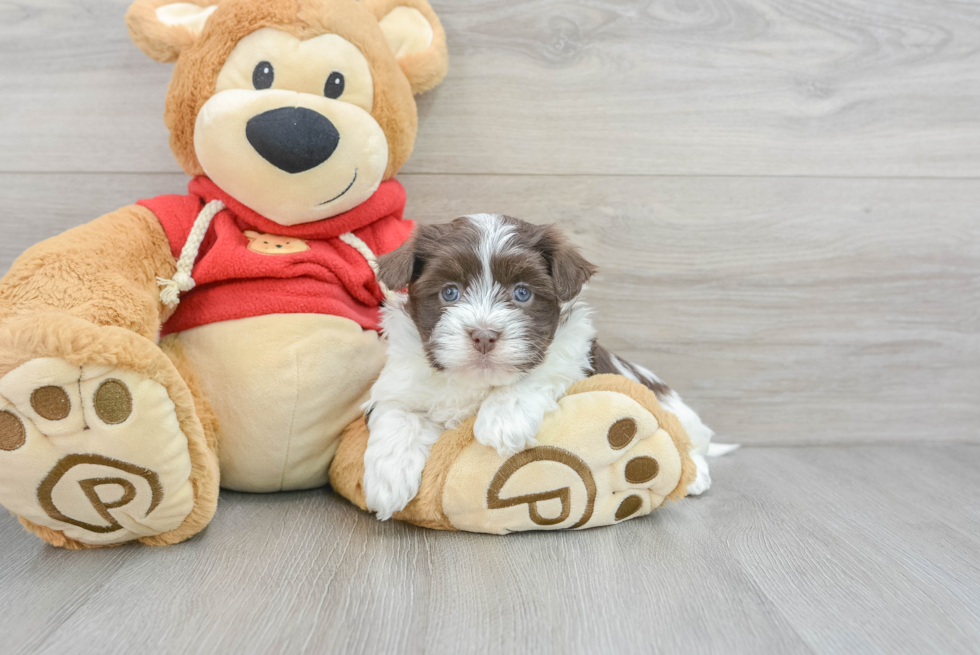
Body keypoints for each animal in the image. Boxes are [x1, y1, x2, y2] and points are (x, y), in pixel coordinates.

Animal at [364, 215, 716, 524]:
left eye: (522, 293)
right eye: (449, 292)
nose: (484, 335)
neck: (478, 382)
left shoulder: (573, 353)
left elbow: (543, 371)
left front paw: (503, 419)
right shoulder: (402, 382)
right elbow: (397, 412)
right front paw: (388, 480)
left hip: (677, 412)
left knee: (689, 441)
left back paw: (696, 474)